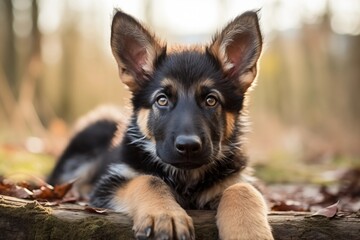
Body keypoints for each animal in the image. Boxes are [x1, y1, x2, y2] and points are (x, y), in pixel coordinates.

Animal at [47, 9, 272, 240]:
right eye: (162, 100)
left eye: (211, 100)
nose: (188, 146)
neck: (186, 179)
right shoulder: (110, 184)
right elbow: (148, 180)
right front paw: (165, 214)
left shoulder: (238, 180)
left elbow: (243, 189)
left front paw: (248, 231)